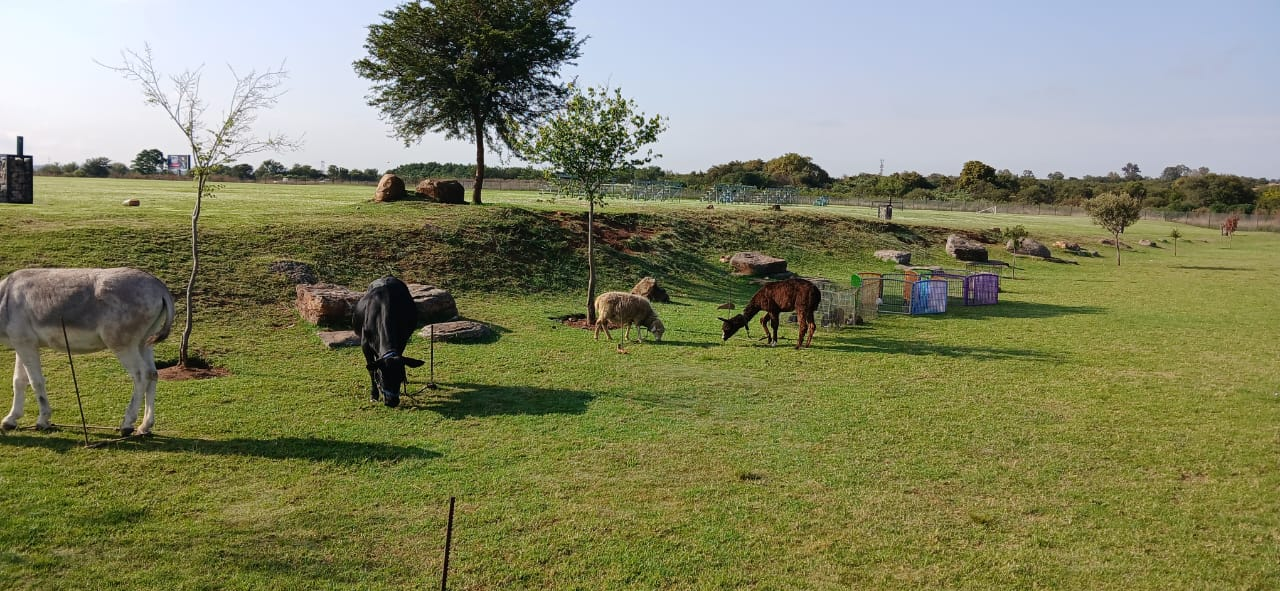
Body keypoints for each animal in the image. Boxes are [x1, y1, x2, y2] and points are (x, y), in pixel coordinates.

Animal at [0, 267, 174, 436]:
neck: (4, 298)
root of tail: (158, 285)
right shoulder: (23, 344)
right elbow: (19, 381)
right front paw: (10, 420)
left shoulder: (25, 344)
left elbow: (36, 381)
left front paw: (43, 421)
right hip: (144, 343)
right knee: (152, 374)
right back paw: (145, 426)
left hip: (123, 345)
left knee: (141, 375)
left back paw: (127, 424)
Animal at [352, 277, 423, 408]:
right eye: (383, 377)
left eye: (400, 378)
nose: (392, 402)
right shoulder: (365, 345)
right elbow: (372, 369)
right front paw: (374, 394)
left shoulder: (402, 340)